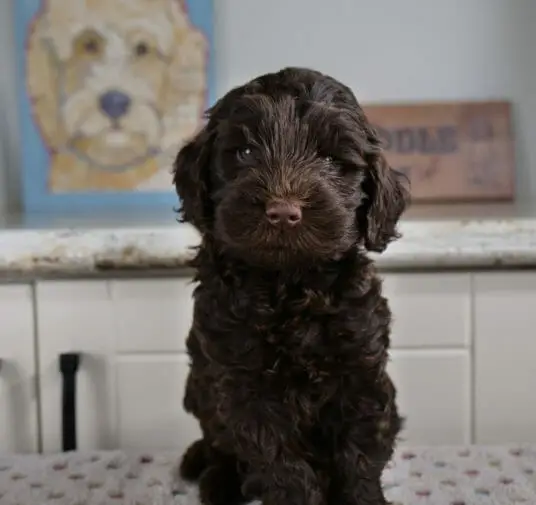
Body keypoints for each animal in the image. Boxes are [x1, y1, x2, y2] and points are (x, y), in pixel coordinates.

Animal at [174, 66, 408, 504]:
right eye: (245, 153)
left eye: (331, 159)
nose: (283, 212)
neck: (290, 287)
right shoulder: (244, 386)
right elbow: (280, 463)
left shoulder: (362, 373)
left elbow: (361, 455)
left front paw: (363, 495)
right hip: (199, 391)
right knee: (217, 445)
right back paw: (218, 482)